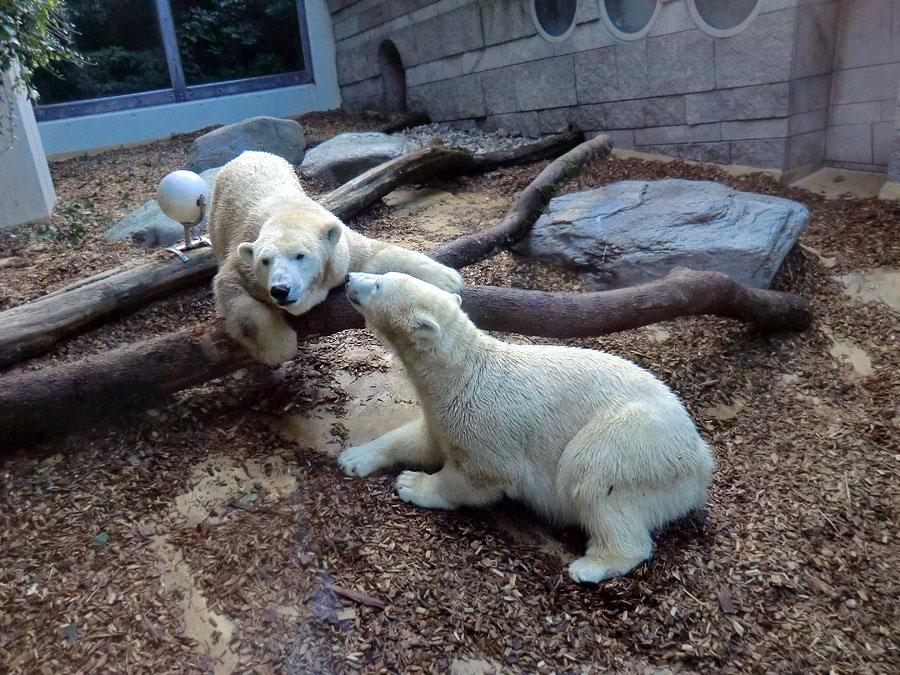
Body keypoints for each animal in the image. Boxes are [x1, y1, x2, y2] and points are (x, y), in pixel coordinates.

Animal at [205, 151, 464, 368]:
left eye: (300, 255)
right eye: (264, 261)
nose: (280, 290)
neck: (288, 212)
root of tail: (246, 153)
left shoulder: (342, 250)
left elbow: (377, 256)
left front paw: (449, 279)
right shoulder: (244, 264)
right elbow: (233, 290)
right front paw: (279, 345)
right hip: (217, 219)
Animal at [338, 272, 716, 584]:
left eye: (379, 284)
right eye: (382, 275)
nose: (350, 278)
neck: (461, 374)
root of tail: (702, 459)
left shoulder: (484, 422)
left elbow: (482, 475)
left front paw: (413, 483)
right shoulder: (443, 412)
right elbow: (421, 439)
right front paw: (355, 457)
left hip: (640, 443)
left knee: (593, 471)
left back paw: (591, 565)